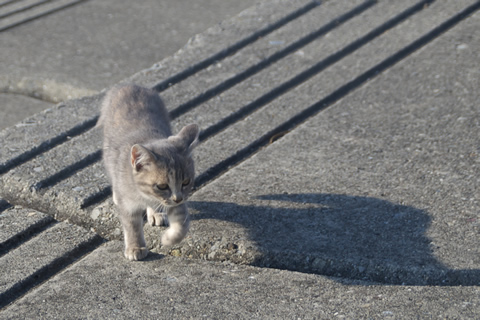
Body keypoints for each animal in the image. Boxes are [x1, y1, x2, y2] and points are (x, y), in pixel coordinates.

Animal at [98, 84, 199, 260]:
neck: (144, 195)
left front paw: (169, 238)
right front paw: (135, 247)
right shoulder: (129, 205)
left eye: (186, 182)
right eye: (162, 186)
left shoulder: (175, 202)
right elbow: (132, 226)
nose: (178, 198)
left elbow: (182, 222)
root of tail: (129, 85)